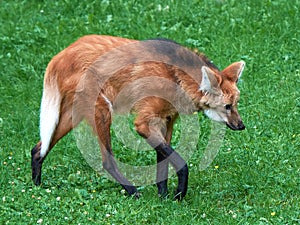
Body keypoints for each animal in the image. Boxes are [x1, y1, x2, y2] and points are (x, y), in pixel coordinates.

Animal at [31, 35, 246, 200]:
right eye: (227, 107)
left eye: (236, 104)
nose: (241, 125)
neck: (177, 79)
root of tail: (61, 55)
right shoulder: (144, 123)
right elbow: (180, 162)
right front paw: (178, 194)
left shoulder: (167, 121)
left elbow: (163, 162)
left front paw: (163, 197)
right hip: (102, 110)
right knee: (107, 161)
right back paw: (133, 192)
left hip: (72, 115)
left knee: (38, 148)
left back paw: (37, 186)